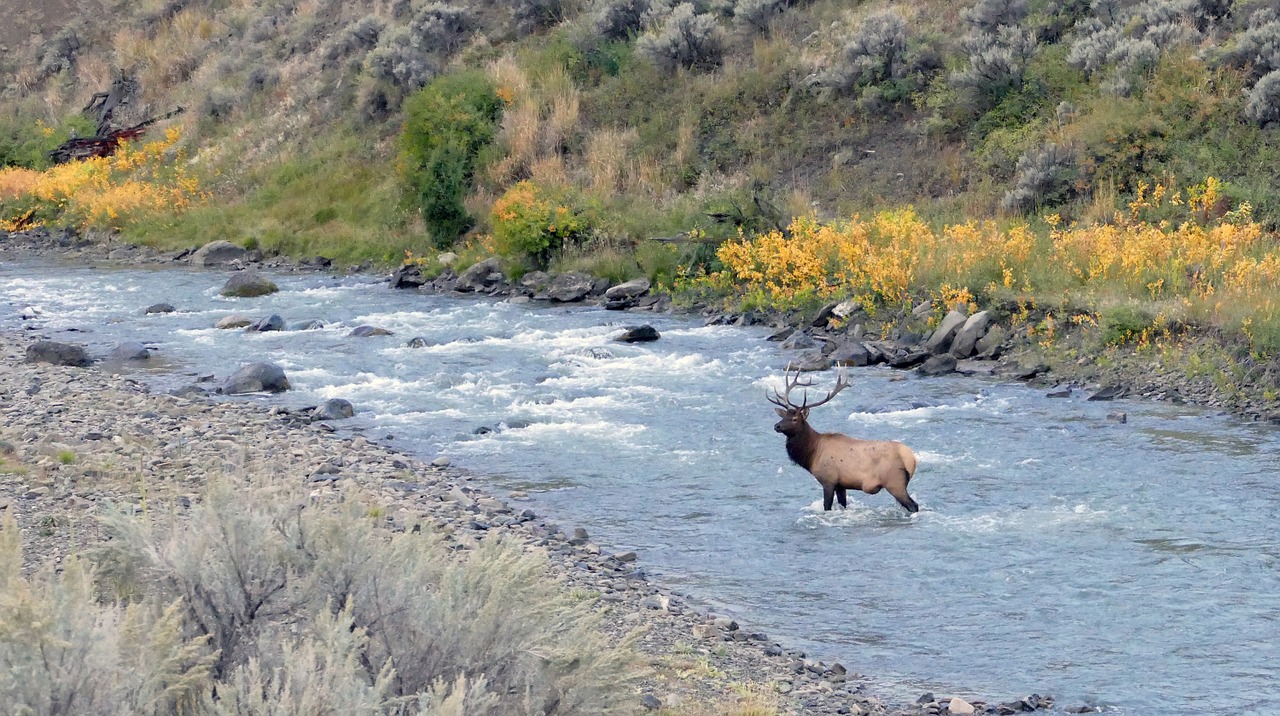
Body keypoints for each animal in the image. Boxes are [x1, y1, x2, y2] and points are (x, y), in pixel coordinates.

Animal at [768, 366, 921, 512]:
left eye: (794, 419)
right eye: (784, 416)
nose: (776, 426)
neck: (812, 454)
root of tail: (912, 459)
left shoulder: (828, 480)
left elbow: (827, 506)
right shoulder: (841, 484)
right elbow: (843, 504)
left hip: (895, 483)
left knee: (914, 505)